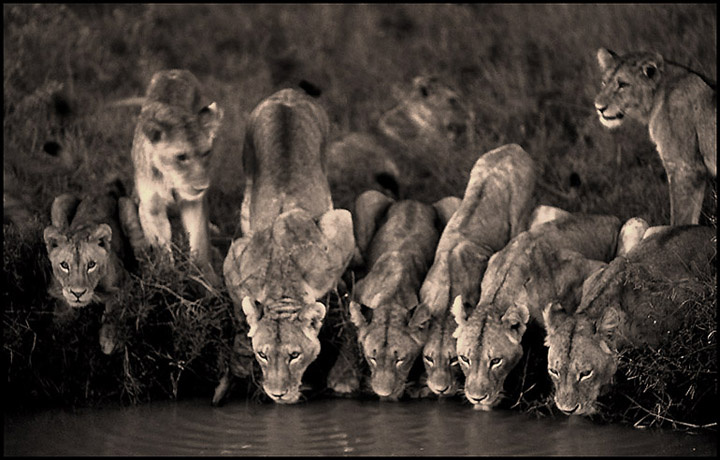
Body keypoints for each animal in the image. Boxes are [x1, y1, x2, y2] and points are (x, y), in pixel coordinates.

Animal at [42, 179, 133, 355]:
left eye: (91, 265)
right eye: (64, 265)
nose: (78, 293)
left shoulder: (125, 280)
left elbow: (115, 306)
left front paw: (110, 338)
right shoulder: (53, 288)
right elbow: (62, 304)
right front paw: (61, 323)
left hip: (127, 205)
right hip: (60, 200)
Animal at [130, 69, 224, 283]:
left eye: (206, 153)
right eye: (181, 157)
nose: (202, 186)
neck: (169, 179)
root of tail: (173, 71)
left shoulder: (193, 202)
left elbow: (199, 240)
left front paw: (207, 279)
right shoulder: (153, 205)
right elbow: (161, 242)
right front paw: (167, 276)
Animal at [217, 89, 355, 405]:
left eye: (295, 355)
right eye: (262, 355)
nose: (277, 394)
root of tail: (287, 94)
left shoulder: (341, 225)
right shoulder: (235, 260)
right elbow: (241, 322)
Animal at [327, 190, 455, 400]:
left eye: (400, 359)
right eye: (372, 357)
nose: (385, 394)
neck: (391, 300)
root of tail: (412, 200)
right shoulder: (357, 292)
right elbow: (350, 332)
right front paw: (343, 379)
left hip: (452, 204)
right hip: (368, 198)